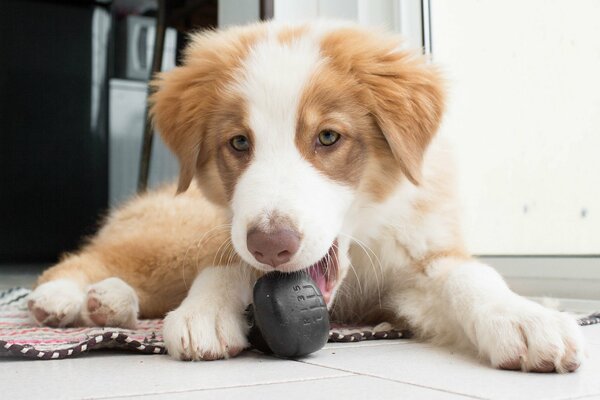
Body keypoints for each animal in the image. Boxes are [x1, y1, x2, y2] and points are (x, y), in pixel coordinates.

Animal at [25, 21, 584, 372]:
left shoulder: (416, 259)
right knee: (88, 258)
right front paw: (205, 313)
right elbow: (223, 266)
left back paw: (108, 305)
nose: (272, 245)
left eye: (329, 137)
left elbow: (470, 276)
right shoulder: (227, 231)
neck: (360, 247)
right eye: (239, 143)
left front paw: (524, 319)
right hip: (175, 237)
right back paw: (60, 300)